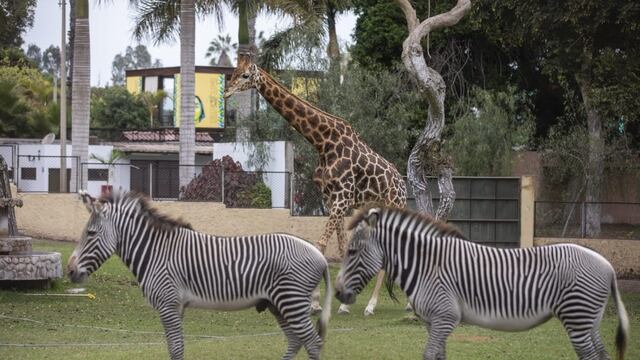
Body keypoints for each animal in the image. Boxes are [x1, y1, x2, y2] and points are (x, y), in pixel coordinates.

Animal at [67, 193, 332, 360]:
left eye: (90, 234)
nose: (69, 271)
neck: (155, 252)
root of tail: (320, 255)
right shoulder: (176, 306)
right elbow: (175, 346)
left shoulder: (168, 303)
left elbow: (176, 348)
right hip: (277, 304)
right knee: (296, 341)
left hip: (291, 301)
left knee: (313, 342)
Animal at [225, 54, 404, 316]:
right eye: (233, 72)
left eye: (246, 75)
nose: (226, 92)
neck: (323, 142)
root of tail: (403, 186)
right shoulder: (332, 198)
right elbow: (340, 247)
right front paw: (334, 302)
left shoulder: (342, 196)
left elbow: (319, 245)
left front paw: (316, 301)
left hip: (392, 207)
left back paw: (375, 306)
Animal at [336, 205, 632, 360]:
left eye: (352, 252)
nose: (337, 293)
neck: (426, 266)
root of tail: (607, 265)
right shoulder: (433, 322)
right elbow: (438, 355)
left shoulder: (445, 317)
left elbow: (429, 355)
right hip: (589, 320)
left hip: (577, 318)